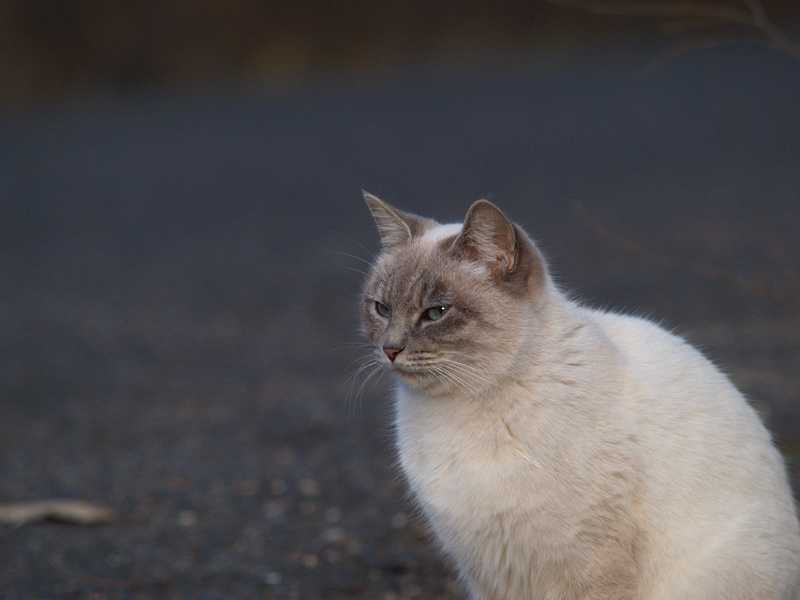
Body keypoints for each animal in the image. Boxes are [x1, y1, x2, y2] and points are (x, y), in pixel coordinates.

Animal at [360, 193, 800, 600]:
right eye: (381, 309)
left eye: (436, 313)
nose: (390, 349)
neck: (458, 411)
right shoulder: (488, 571)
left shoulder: (587, 566)